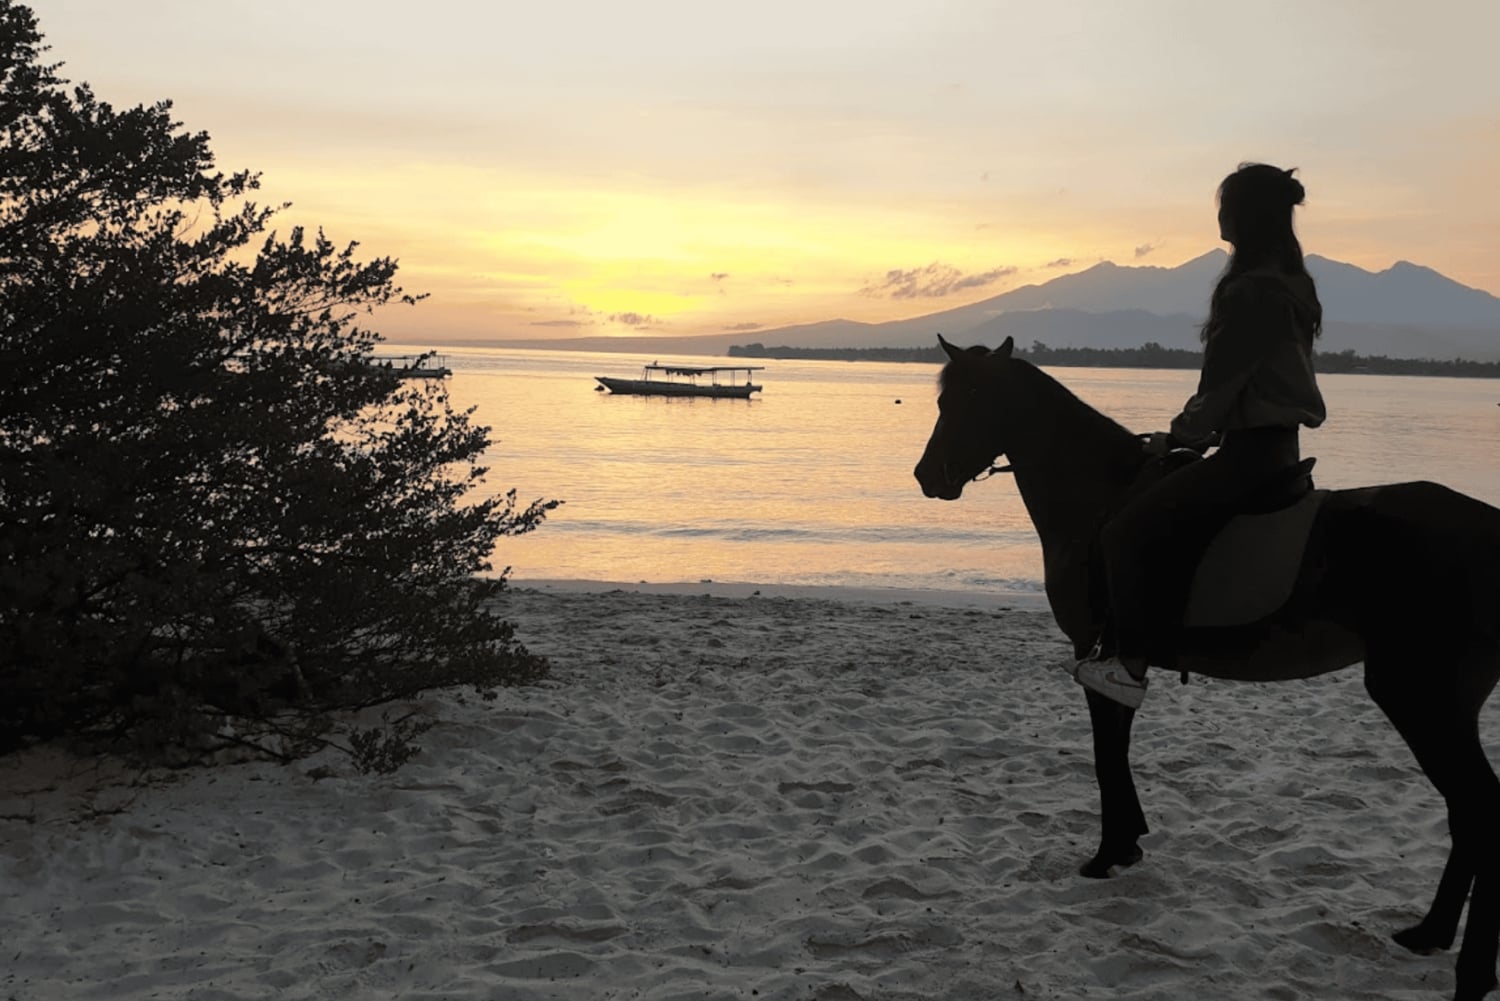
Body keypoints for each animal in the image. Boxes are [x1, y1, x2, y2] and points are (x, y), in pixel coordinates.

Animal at [913, 334, 1500, 1001]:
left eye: (970, 398)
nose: (926, 475)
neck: (1097, 495)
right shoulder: (1126, 659)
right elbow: (1118, 750)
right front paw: (1128, 843)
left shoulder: (1097, 652)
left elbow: (1105, 756)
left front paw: (1107, 853)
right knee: (1467, 812)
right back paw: (1430, 933)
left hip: (1419, 695)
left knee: (1479, 809)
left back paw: (1465, 966)